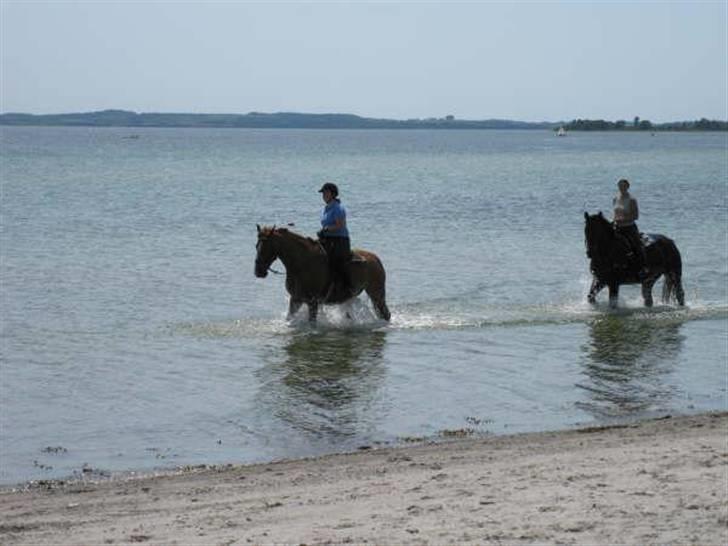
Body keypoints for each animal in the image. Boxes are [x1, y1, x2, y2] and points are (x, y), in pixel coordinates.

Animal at [256, 224, 392, 320]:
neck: (301, 264)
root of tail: (376, 259)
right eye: (256, 246)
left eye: (266, 248)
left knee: (385, 314)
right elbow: (289, 318)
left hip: (376, 294)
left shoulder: (312, 301)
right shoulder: (296, 299)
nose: (258, 271)